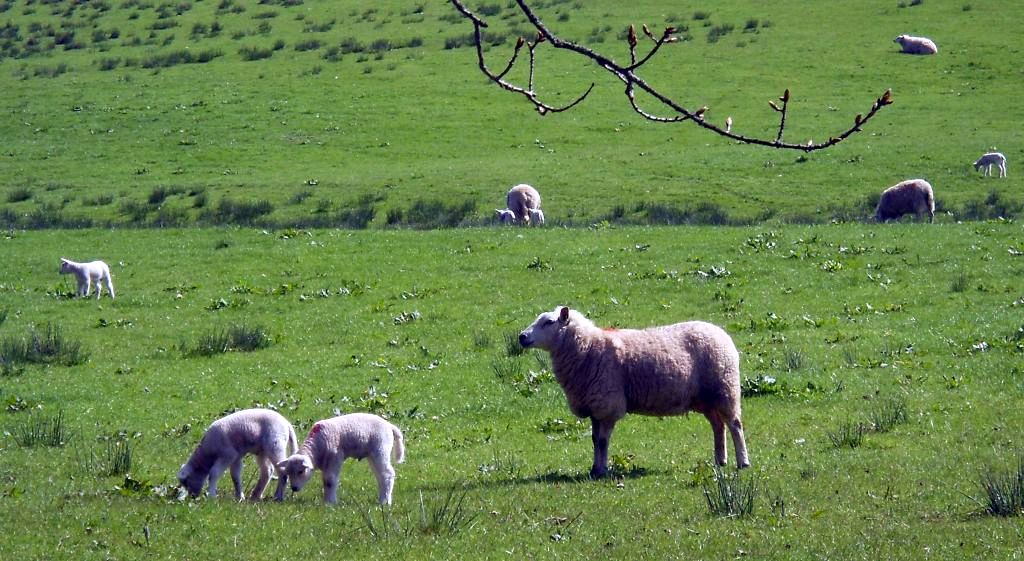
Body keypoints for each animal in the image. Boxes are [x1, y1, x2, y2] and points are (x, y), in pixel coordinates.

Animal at [520, 307, 753, 477]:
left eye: (549, 322)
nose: (522, 336)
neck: (588, 347)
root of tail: (721, 333)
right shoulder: (594, 405)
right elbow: (594, 439)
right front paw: (595, 469)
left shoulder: (607, 404)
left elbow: (602, 441)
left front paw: (602, 471)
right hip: (707, 398)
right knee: (718, 426)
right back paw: (720, 460)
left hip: (725, 388)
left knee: (735, 425)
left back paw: (743, 462)